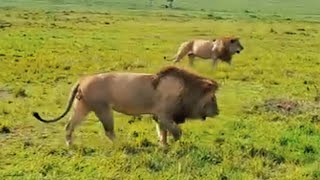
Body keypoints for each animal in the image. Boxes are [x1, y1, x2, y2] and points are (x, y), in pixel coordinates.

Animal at [32, 66, 219, 146]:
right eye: (213, 98)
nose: (218, 111)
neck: (187, 90)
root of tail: (83, 79)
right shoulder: (164, 115)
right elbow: (176, 132)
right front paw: (176, 146)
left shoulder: (158, 116)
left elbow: (163, 132)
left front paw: (164, 145)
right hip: (103, 109)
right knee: (109, 131)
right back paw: (122, 145)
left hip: (83, 106)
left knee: (69, 126)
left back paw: (70, 146)